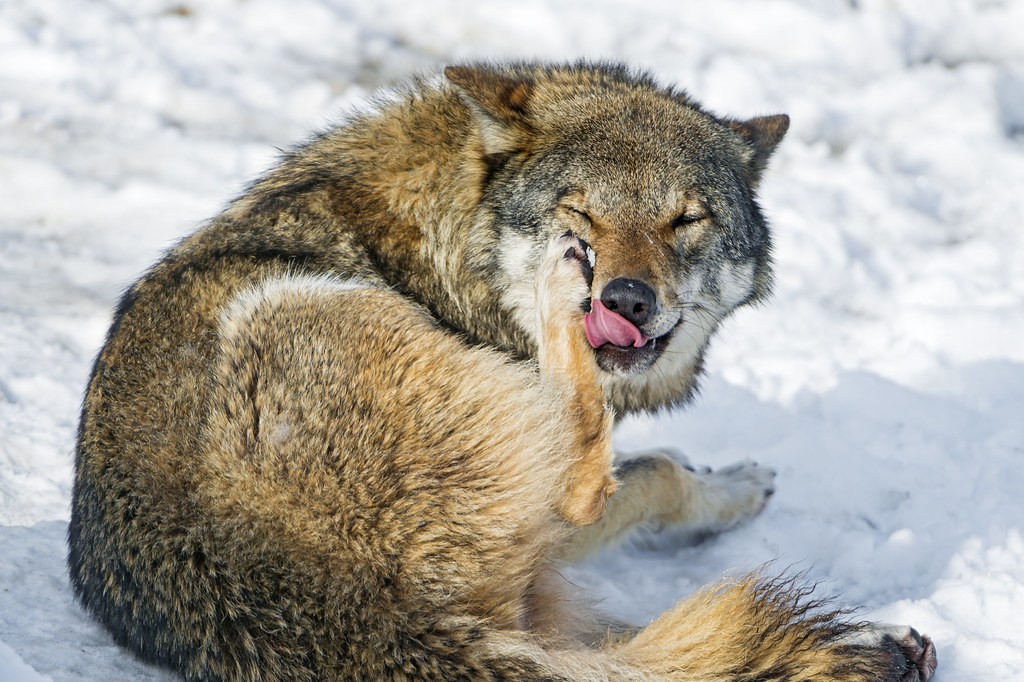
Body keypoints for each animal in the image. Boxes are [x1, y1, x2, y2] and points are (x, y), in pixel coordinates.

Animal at [68, 62, 936, 680]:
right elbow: (656, 471)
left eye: (686, 218)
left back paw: (882, 643)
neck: (456, 247)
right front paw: (727, 487)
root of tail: (329, 601)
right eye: (582, 210)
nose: (621, 296)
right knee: (596, 491)